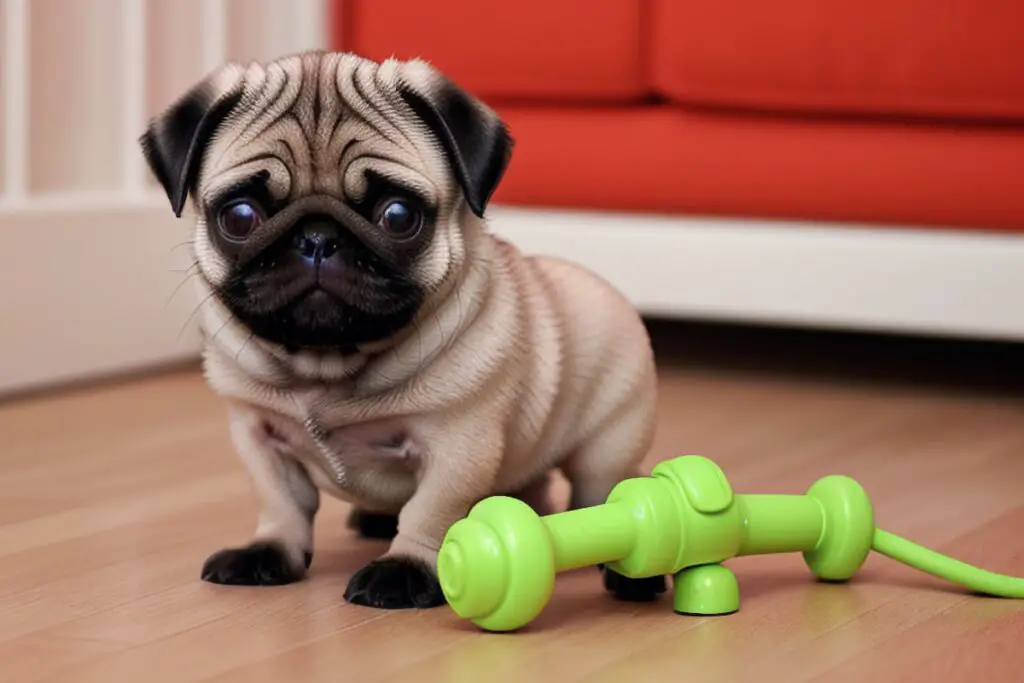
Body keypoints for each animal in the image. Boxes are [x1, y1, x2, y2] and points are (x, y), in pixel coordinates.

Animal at [140, 50, 659, 610]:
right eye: (239, 216)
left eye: (398, 215)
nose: (317, 237)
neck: (326, 368)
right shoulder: (257, 436)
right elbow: (281, 502)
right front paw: (268, 550)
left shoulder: (458, 445)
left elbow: (431, 510)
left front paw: (407, 568)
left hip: (607, 444)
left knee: (605, 491)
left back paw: (633, 573)